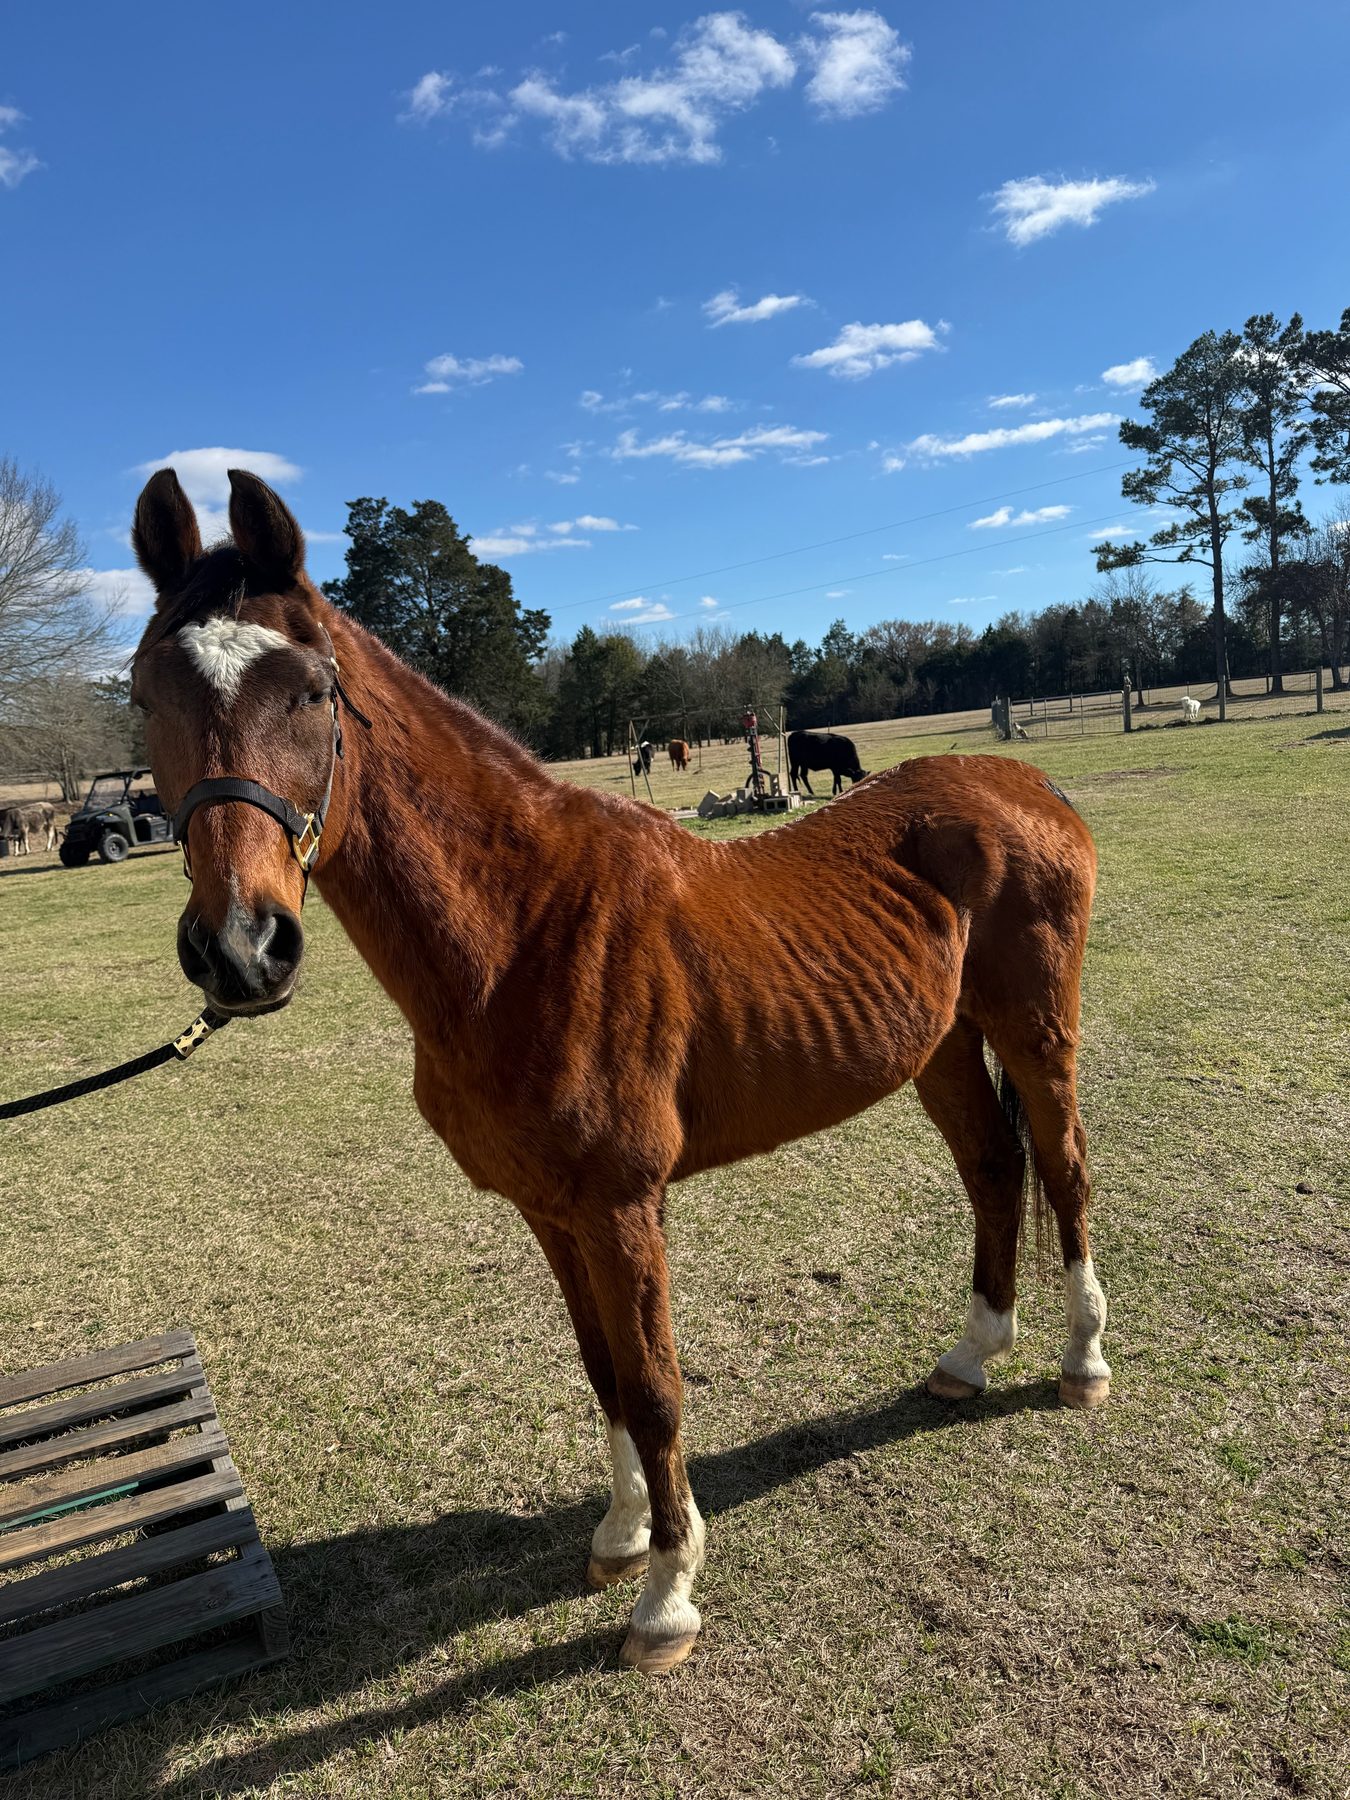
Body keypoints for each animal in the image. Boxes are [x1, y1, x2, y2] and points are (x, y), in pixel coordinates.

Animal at [128, 468, 1110, 1677]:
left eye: (311, 691)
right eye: (145, 694)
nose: (239, 948)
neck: (526, 928)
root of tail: (1026, 781)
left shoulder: (621, 1204)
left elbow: (653, 1385)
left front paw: (667, 1596)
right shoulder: (552, 1212)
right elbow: (602, 1370)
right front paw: (621, 1535)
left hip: (1034, 1030)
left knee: (1062, 1168)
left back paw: (1080, 1362)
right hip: (941, 1048)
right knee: (991, 1170)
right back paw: (972, 1355)